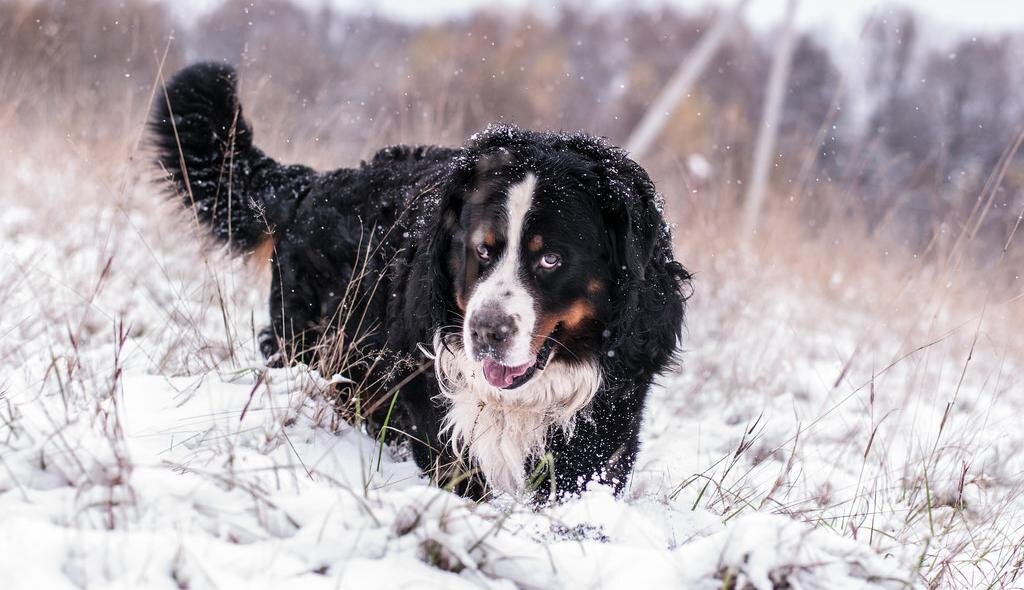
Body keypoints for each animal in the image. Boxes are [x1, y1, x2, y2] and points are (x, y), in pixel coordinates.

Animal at [151, 62, 692, 499]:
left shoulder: (602, 433)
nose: (486, 332)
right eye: (481, 249)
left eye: (552, 259)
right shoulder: (441, 426)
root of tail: (314, 182)